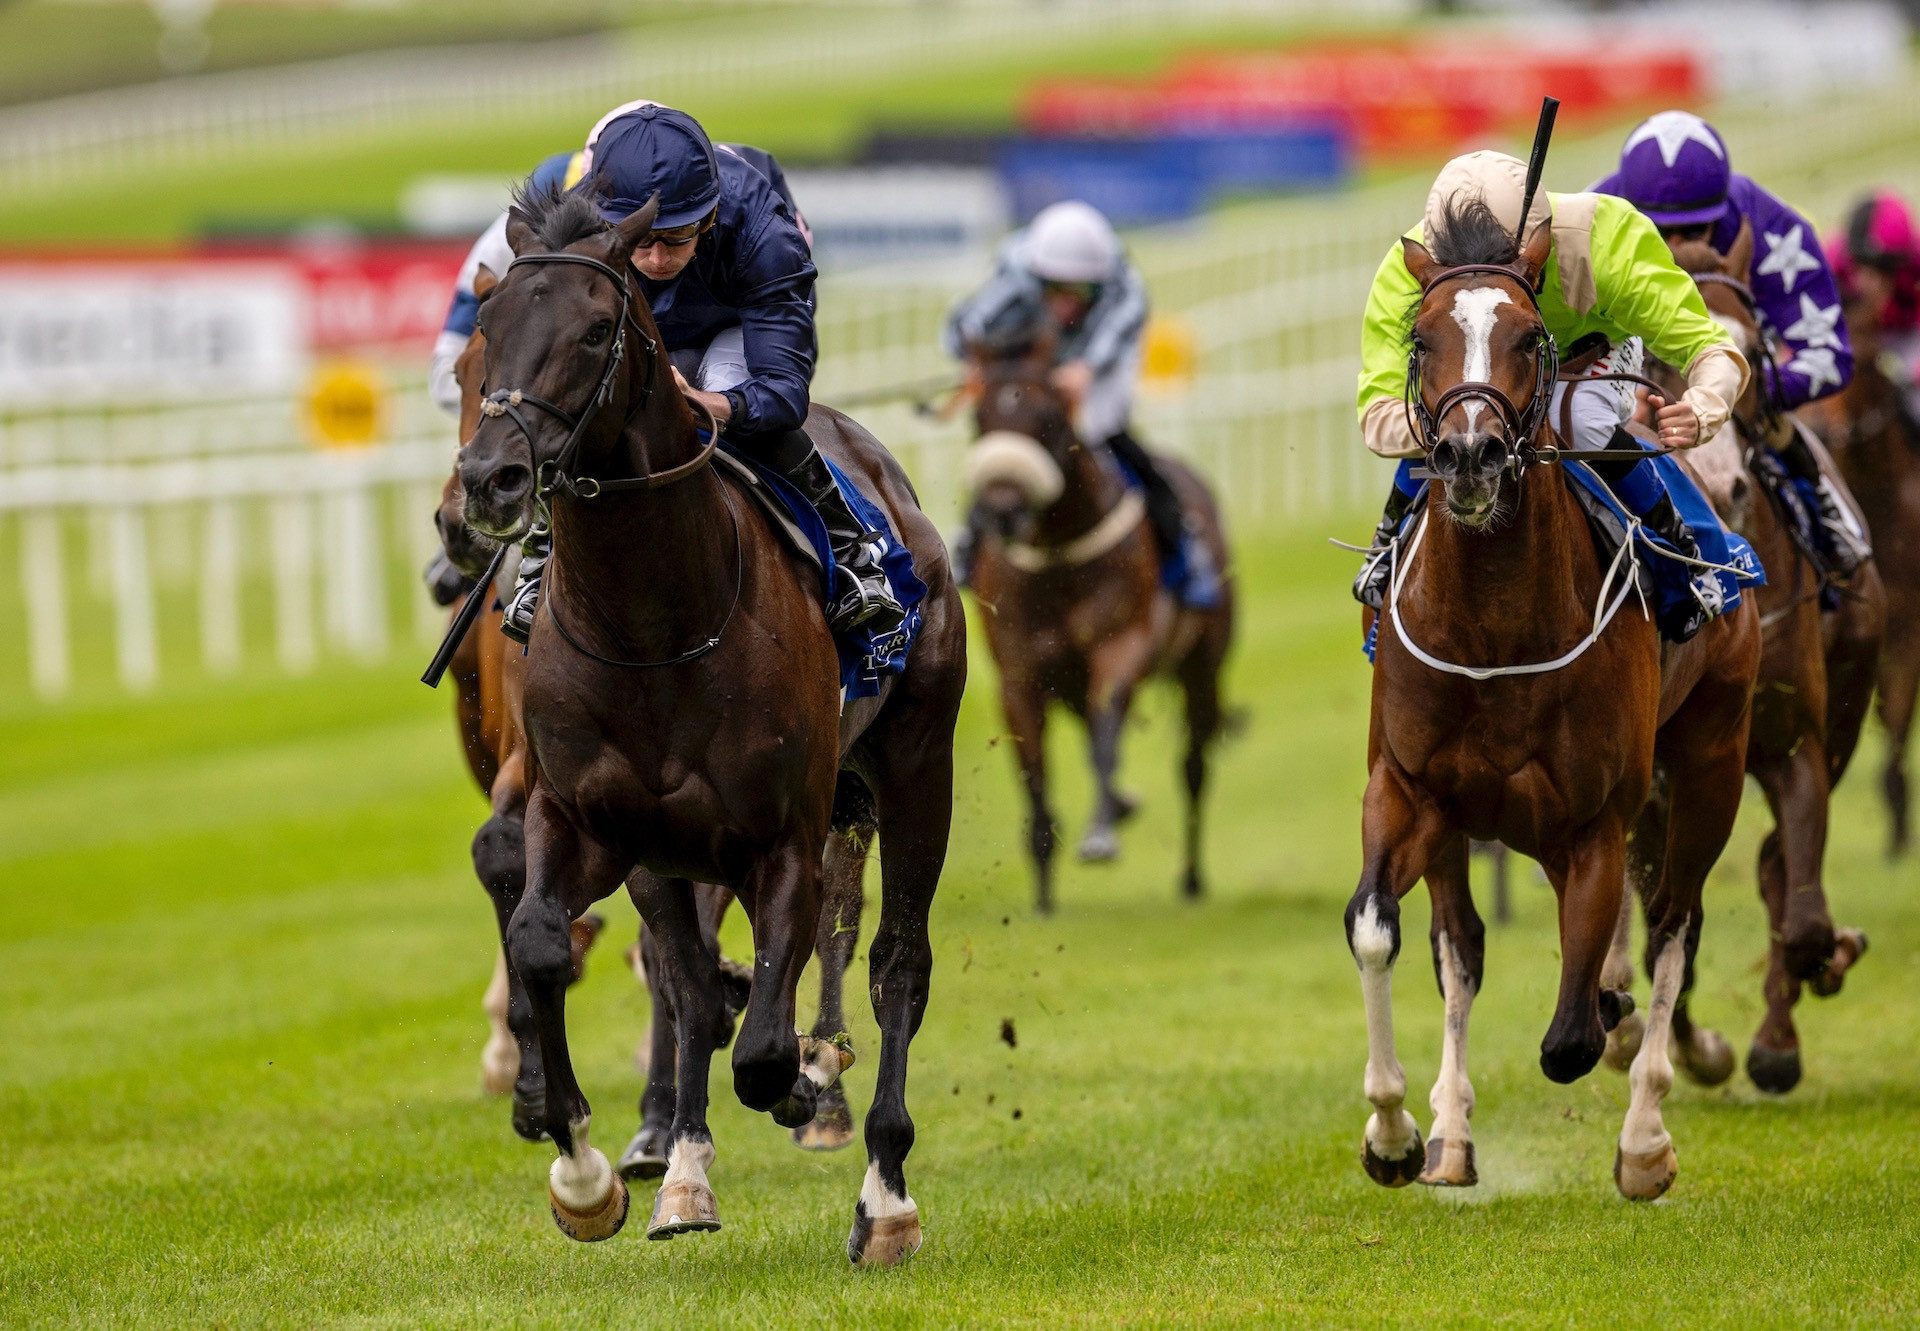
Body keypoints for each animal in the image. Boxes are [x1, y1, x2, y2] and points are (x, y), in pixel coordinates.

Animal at [451, 184, 960, 1259]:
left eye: (595, 330)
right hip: (668, 847)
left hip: (916, 765)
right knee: (683, 977)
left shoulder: (785, 835)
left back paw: (883, 1192)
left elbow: (769, 1042)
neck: (654, 620)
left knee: (897, 962)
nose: (489, 479)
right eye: (488, 330)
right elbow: (548, 941)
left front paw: (806, 1079)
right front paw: (581, 1169)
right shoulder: (584, 815)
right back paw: (681, 1163)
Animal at [967, 349, 1236, 914]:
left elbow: (1106, 730)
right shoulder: (1019, 675)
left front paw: (1099, 833)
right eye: (979, 419)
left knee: (1192, 766)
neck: (1057, 557)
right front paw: (1043, 896)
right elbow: (1034, 772)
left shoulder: (1120, 647)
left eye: (1048, 419)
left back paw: (1190, 878)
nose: (1002, 510)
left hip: (1202, 666)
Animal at [1351, 199, 1758, 1206]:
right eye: (1420, 339)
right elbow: (1381, 930)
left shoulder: (1593, 822)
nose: (1467, 454)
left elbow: (1573, 1035)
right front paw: (1395, 1133)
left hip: (1712, 762)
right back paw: (1453, 1136)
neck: (1496, 626)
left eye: (1528, 337)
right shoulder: (1411, 790)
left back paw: (1645, 1137)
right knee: (1461, 944)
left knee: (1673, 926)